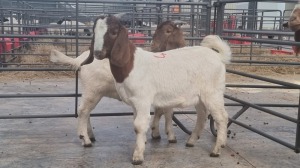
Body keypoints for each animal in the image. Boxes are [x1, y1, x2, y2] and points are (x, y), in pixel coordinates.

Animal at [50, 19, 189, 147]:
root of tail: (80, 60)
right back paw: (85, 139)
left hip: (91, 92)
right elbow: (168, 113)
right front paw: (171, 136)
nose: (154, 47)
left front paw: (155, 133)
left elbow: (159, 111)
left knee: (85, 112)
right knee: (83, 110)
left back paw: (90, 135)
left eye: (168, 31)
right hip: (93, 90)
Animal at [83, 15, 231, 165]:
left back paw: (217, 149)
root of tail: (218, 56)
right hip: (200, 97)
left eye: (113, 32)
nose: (98, 53)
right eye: (94, 31)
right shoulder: (134, 102)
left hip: (213, 93)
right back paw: (192, 141)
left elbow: (140, 124)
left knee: (222, 117)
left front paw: (138, 156)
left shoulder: (143, 100)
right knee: (202, 115)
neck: (131, 64)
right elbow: (137, 124)